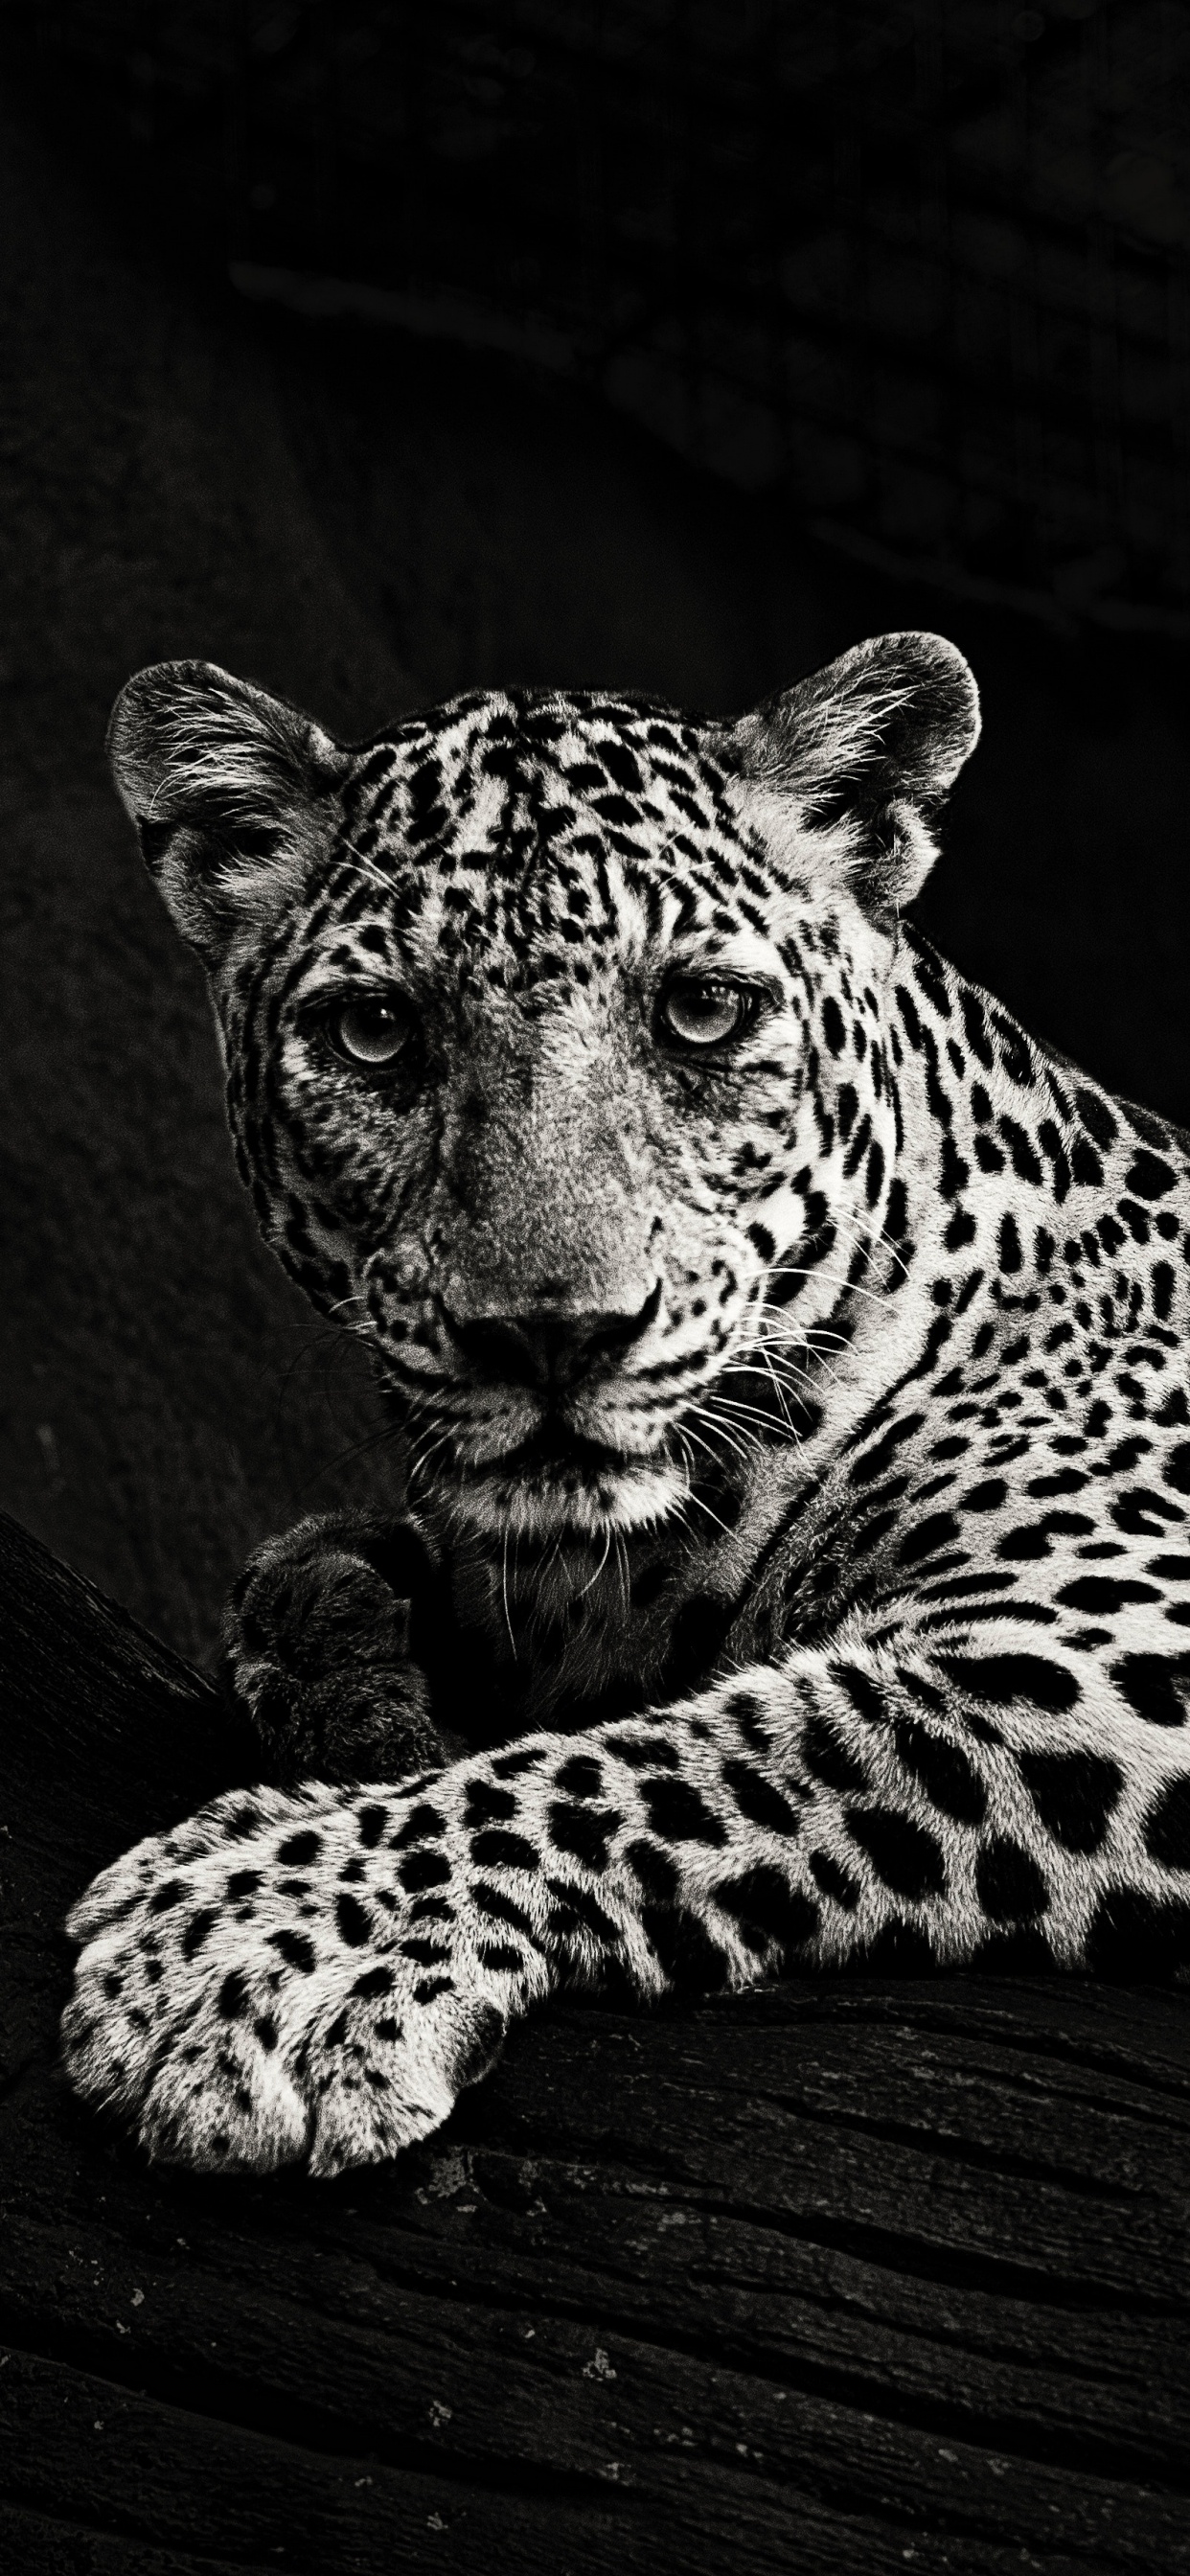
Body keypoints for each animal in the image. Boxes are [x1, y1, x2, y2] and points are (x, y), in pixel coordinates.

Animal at [62, 629, 1190, 2179]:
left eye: (701, 1013)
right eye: (374, 1033)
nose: (553, 1336)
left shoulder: (1119, 1641)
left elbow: (709, 1754)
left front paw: (242, 1944)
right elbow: (304, 1581)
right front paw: (353, 1679)